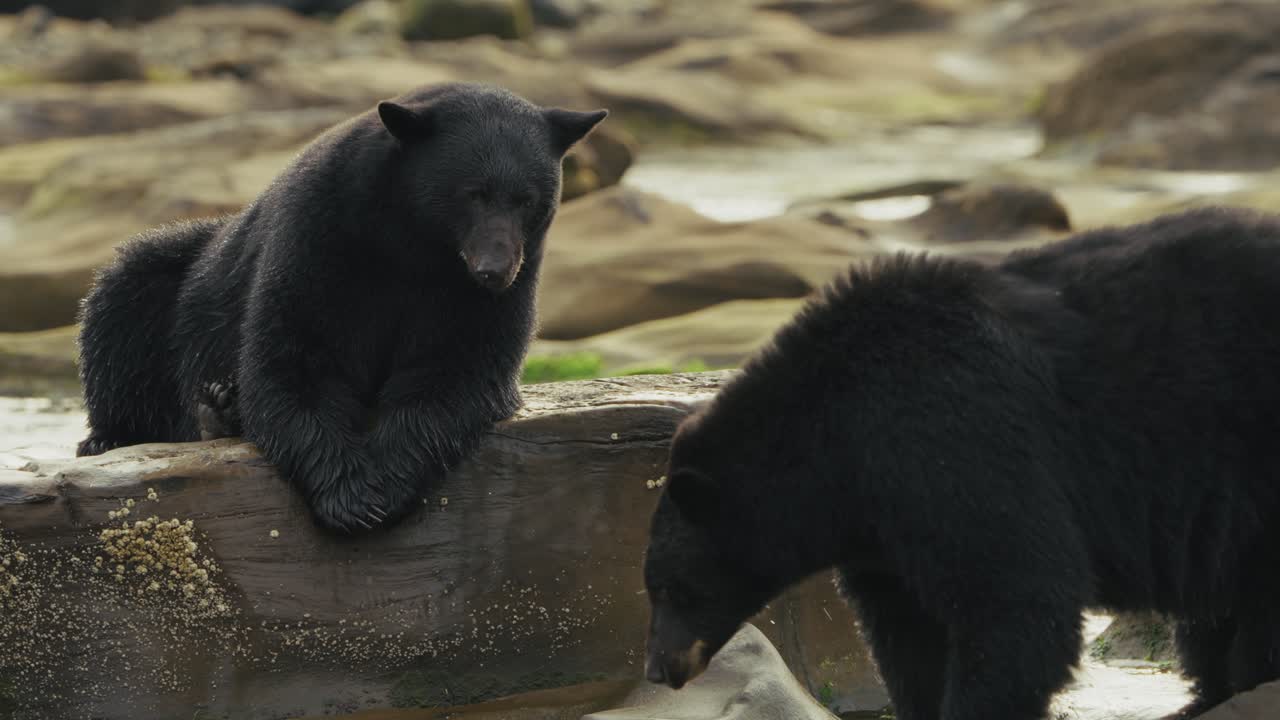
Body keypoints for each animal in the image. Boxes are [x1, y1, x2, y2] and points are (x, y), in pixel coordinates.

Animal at [76, 82, 607, 534]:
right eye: (472, 193)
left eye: (528, 200)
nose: (494, 270)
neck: (412, 241)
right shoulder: (321, 236)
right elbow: (296, 357)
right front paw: (349, 494)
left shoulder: (484, 288)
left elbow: (458, 369)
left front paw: (384, 483)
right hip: (182, 278)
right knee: (122, 306)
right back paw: (125, 433)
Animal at [641, 206, 1280, 720]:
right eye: (654, 587)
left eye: (674, 589)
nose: (657, 668)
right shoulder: (881, 530)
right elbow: (905, 627)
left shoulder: (956, 433)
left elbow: (1013, 595)